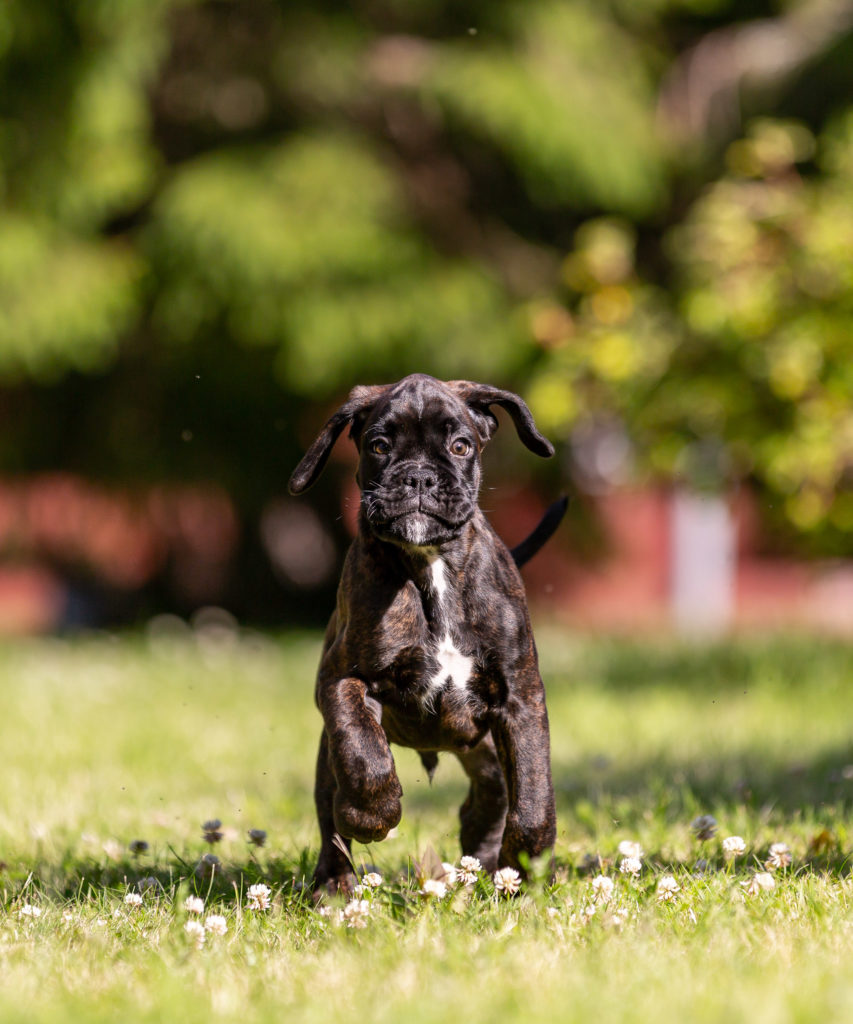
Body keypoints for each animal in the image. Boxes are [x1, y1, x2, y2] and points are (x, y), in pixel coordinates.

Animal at [288, 372, 561, 892]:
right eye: (378, 446)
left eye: (460, 445)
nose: (418, 477)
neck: (431, 565)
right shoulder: (340, 680)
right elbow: (364, 752)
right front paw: (370, 815)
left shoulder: (520, 696)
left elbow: (534, 795)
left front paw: (522, 868)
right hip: (327, 756)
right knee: (332, 815)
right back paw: (334, 883)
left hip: (486, 746)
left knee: (494, 795)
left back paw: (486, 862)